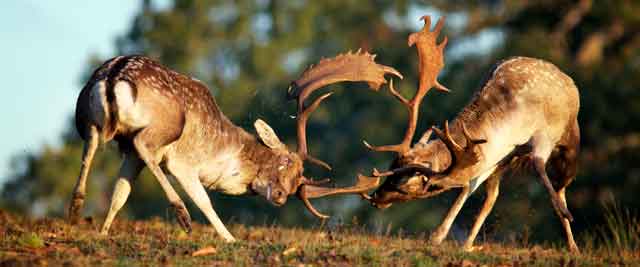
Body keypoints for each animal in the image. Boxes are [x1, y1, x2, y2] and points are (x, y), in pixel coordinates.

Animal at [71, 53, 400, 242]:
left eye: (297, 183)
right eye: (284, 162)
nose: (280, 196)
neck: (222, 154)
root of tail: (114, 76)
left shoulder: (130, 156)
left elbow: (120, 193)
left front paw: (103, 232)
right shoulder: (183, 163)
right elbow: (205, 200)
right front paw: (229, 238)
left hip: (86, 114)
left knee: (91, 141)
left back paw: (76, 205)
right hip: (164, 126)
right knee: (141, 142)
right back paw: (181, 215)